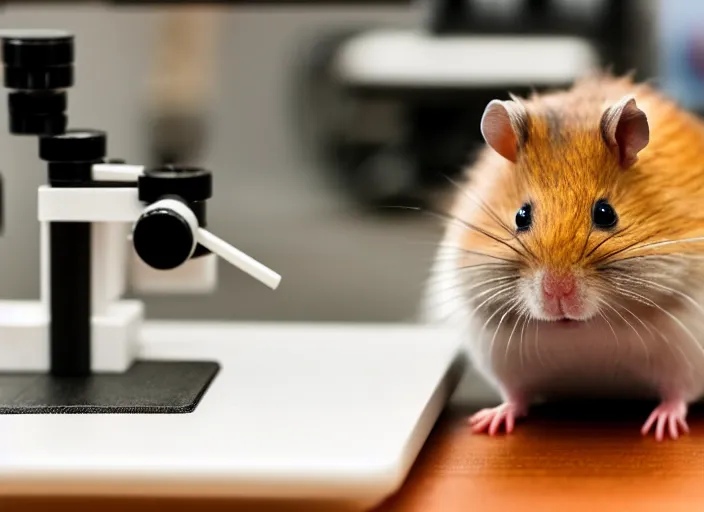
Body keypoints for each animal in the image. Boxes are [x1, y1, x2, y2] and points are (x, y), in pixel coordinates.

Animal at [420, 72, 704, 440]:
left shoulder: (687, 354)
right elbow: (514, 395)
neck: (585, 326)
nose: (557, 295)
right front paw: (486, 424)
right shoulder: (499, 358)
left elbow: (677, 394)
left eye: (606, 213)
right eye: (521, 216)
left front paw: (663, 431)